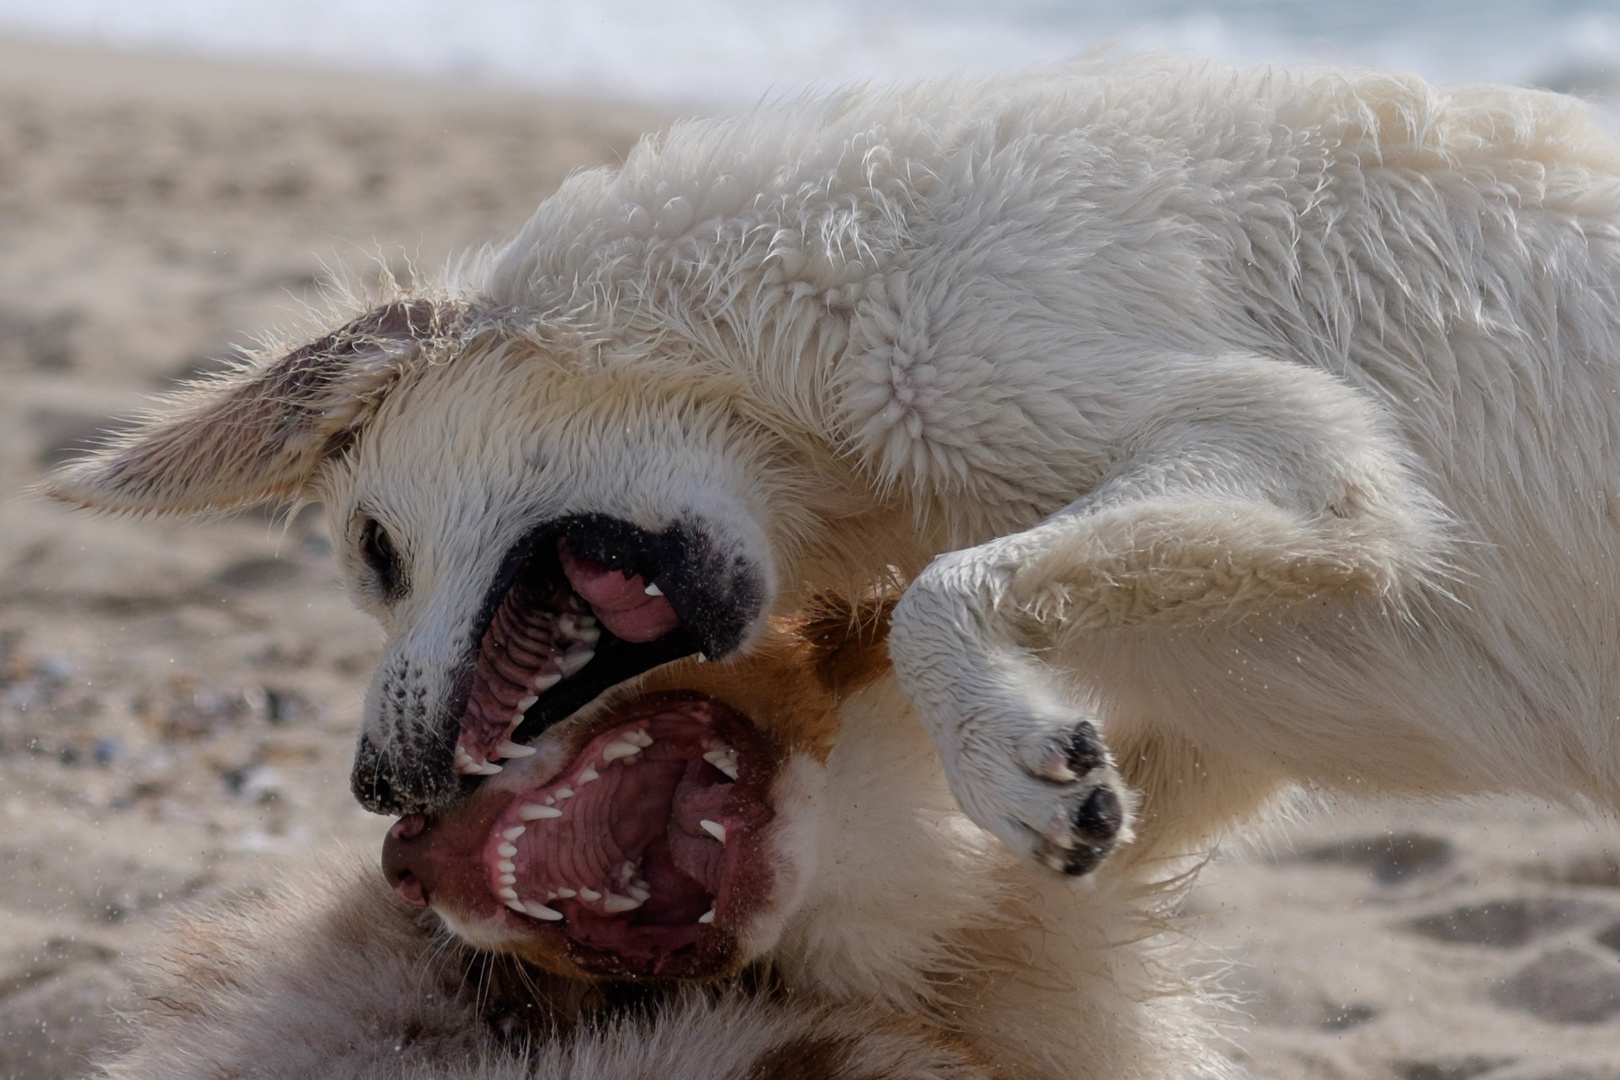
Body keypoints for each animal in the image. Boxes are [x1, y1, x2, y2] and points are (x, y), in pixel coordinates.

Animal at [44, 57, 1620, 880]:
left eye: (372, 553)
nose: (372, 787)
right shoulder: (1211, 729)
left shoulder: (1301, 452)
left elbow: (937, 595)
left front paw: (1008, 766)